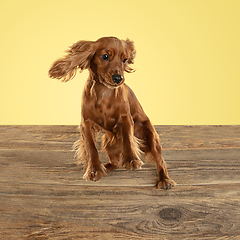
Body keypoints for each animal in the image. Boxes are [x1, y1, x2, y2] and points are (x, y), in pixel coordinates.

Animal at [48, 36, 175, 189]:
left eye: (125, 59)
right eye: (105, 56)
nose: (118, 78)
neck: (104, 91)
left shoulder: (125, 117)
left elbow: (128, 139)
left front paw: (131, 159)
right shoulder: (86, 123)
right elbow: (91, 148)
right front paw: (94, 169)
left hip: (150, 136)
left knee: (160, 161)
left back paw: (165, 180)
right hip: (108, 142)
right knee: (115, 163)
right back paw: (106, 167)